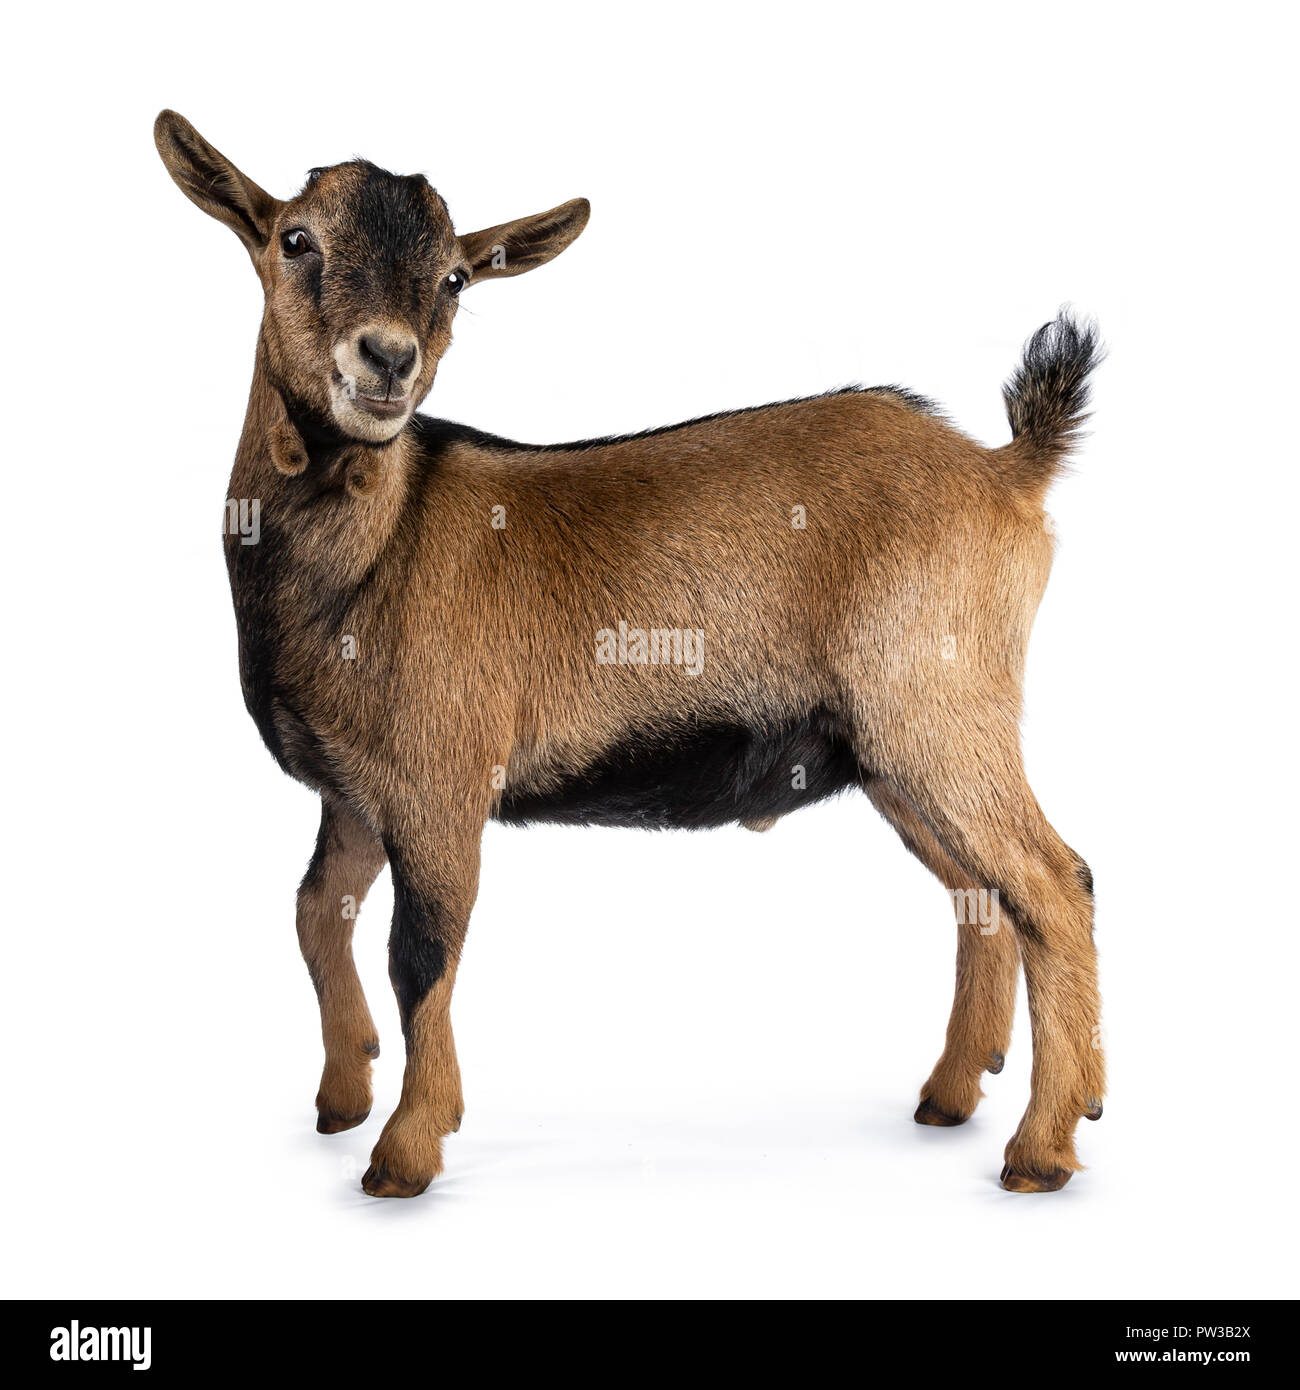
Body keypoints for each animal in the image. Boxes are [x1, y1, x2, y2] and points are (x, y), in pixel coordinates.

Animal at [155, 111, 1106, 1195]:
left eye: (453, 276)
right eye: (295, 238)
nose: (385, 361)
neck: (376, 545)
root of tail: (1005, 471)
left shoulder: (439, 783)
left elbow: (421, 954)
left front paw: (403, 1151)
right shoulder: (351, 789)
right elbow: (317, 914)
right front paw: (342, 1099)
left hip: (941, 710)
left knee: (1053, 883)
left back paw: (1042, 1147)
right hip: (892, 755)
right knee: (982, 898)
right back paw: (953, 1095)